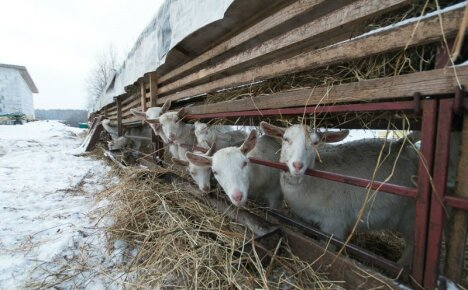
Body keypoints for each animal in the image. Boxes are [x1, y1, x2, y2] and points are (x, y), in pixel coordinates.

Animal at [262, 121, 418, 266]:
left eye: (315, 143)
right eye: (285, 139)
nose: (297, 166)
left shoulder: (333, 224)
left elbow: (328, 250)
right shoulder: (304, 219)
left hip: (410, 216)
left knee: (411, 245)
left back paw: (401, 266)